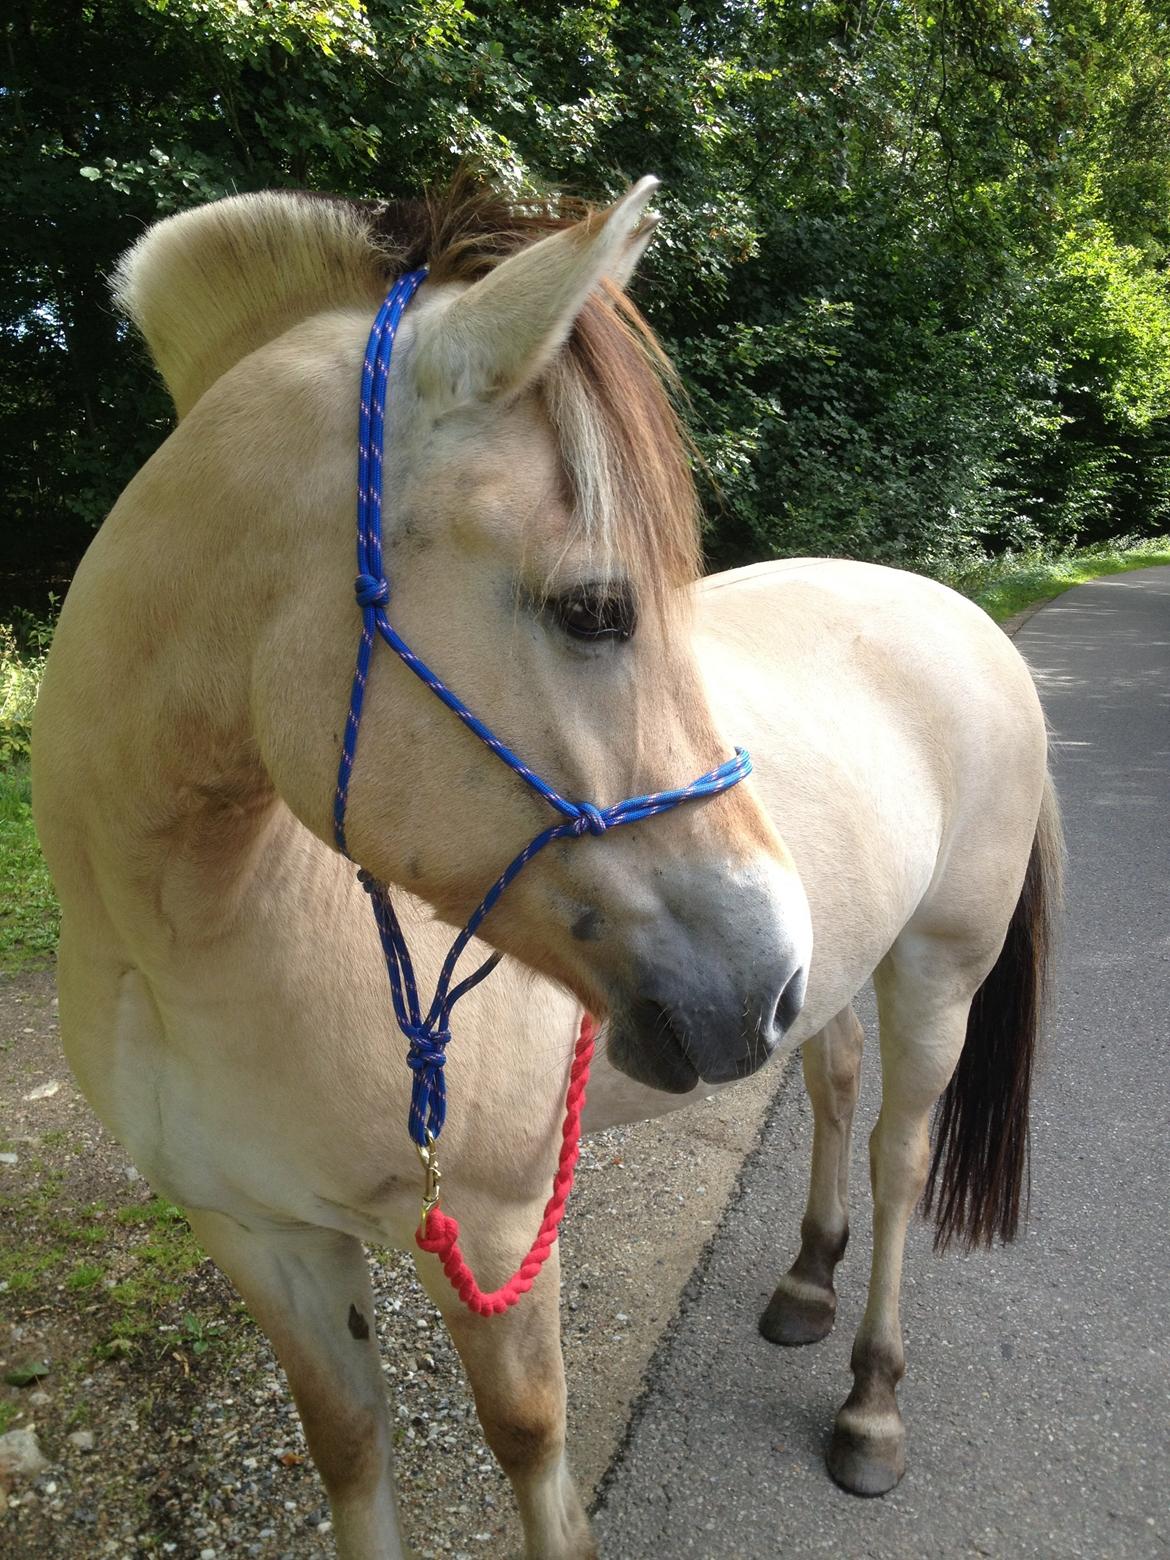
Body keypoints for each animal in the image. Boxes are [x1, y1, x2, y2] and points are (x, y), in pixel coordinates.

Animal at [34, 173, 1060, 1560]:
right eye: (595, 609)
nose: (763, 972)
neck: (188, 945)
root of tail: (962, 617)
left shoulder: (497, 1228)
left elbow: (530, 1447)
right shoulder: (262, 1241)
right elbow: (347, 1447)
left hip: (938, 966)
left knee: (901, 1155)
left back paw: (871, 1403)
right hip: (841, 973)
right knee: (834, 1079)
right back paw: (805, 1280)